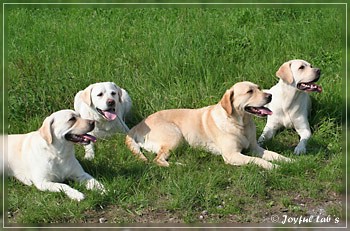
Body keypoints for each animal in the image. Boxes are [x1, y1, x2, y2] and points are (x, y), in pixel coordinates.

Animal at [126, 81, 290, 170]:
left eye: (259, 87)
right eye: (250, 91)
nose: (270, 96)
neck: (240, 124)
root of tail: (138, 125)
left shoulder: (255, 148)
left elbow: (274, 154)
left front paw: (289, 161)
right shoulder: (232, 155)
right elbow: (257, 160)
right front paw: (273, 167)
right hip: (175, 136)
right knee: (158, 160)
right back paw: (181, 165)